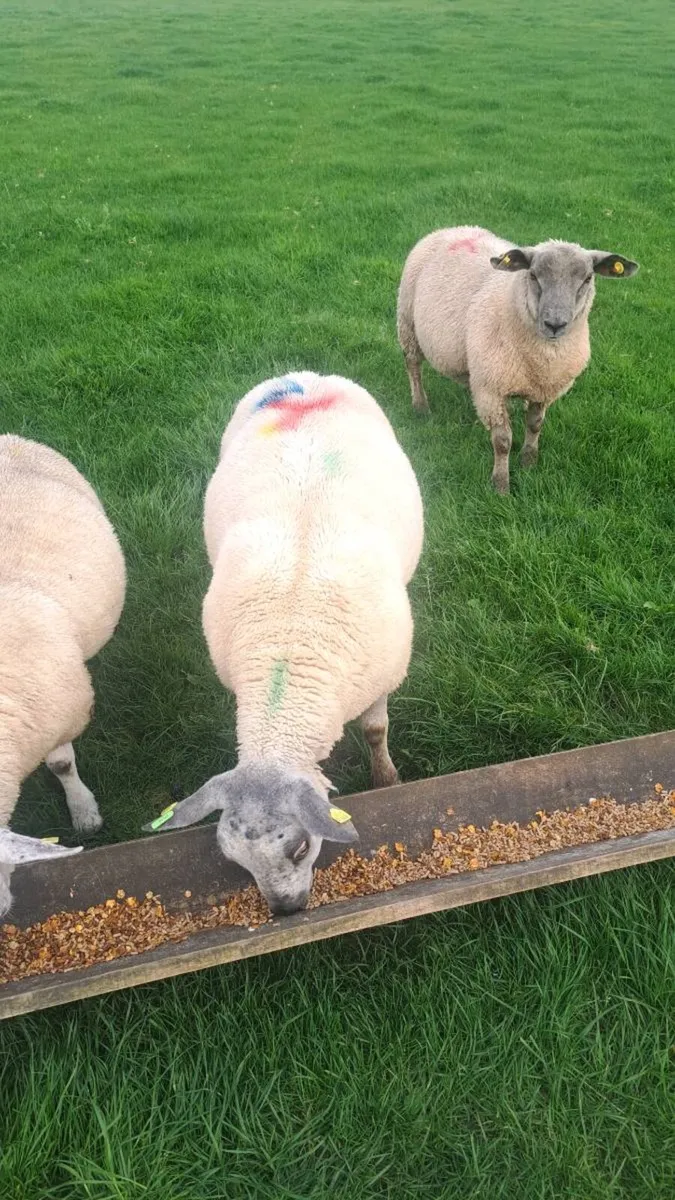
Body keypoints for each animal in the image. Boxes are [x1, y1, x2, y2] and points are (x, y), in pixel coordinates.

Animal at [145, 372, 424, 915]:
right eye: (234, 860)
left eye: (299, 847)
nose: (286, 911)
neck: (288, 656)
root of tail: (305, 379)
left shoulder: (384, 674)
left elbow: (376, 731)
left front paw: (387, 780)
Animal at [397, 226, 638, 493]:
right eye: (533, 275)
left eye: (587, 279)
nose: (555, 324)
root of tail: (453, 228)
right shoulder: (491, 390)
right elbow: (502, 441)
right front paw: (501, 485)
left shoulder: (544, 388)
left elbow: (535, 424)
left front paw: (528, 461)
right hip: (407, 322)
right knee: (413, 365)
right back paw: (420, 405)